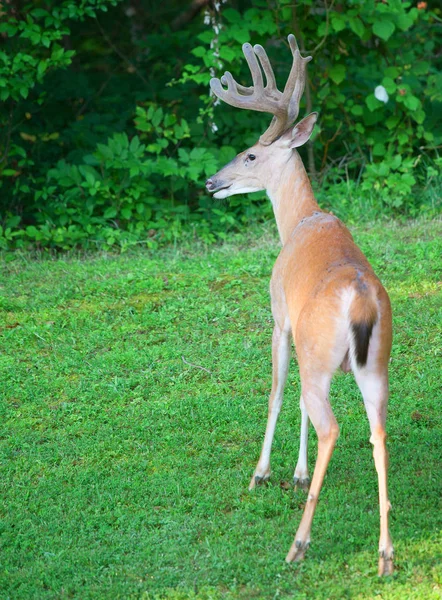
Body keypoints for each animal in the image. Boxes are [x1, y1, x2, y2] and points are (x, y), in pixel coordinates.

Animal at [204, 34, 394, 576]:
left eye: (249, 155)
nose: (211, 182)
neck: (300, 220)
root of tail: (360, 301)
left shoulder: (281, 318)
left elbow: (275, 392)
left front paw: (264, 473)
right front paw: (297, 472)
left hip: (319, 355)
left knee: (331, 425)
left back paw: (300, 543)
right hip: (376, 364)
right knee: (377, 432)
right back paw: (385, 553)